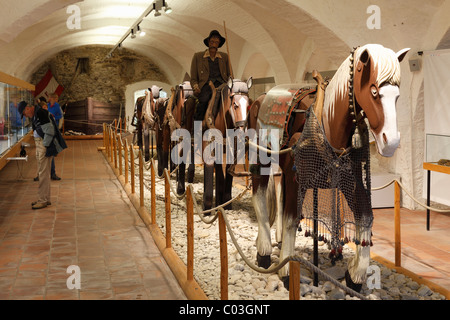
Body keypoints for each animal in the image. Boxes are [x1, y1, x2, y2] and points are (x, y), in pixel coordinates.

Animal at [248, 43, 410, 292]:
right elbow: (291, 219)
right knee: (259, 194)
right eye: (374, 91)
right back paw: (264, 250)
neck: (328, 122)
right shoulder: (297, 179)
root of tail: (262, 97)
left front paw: (355, 274)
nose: (390, 142)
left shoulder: (350, 181)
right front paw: (287, 270)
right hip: (261, 157)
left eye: (397, 96)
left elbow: (366, 216)